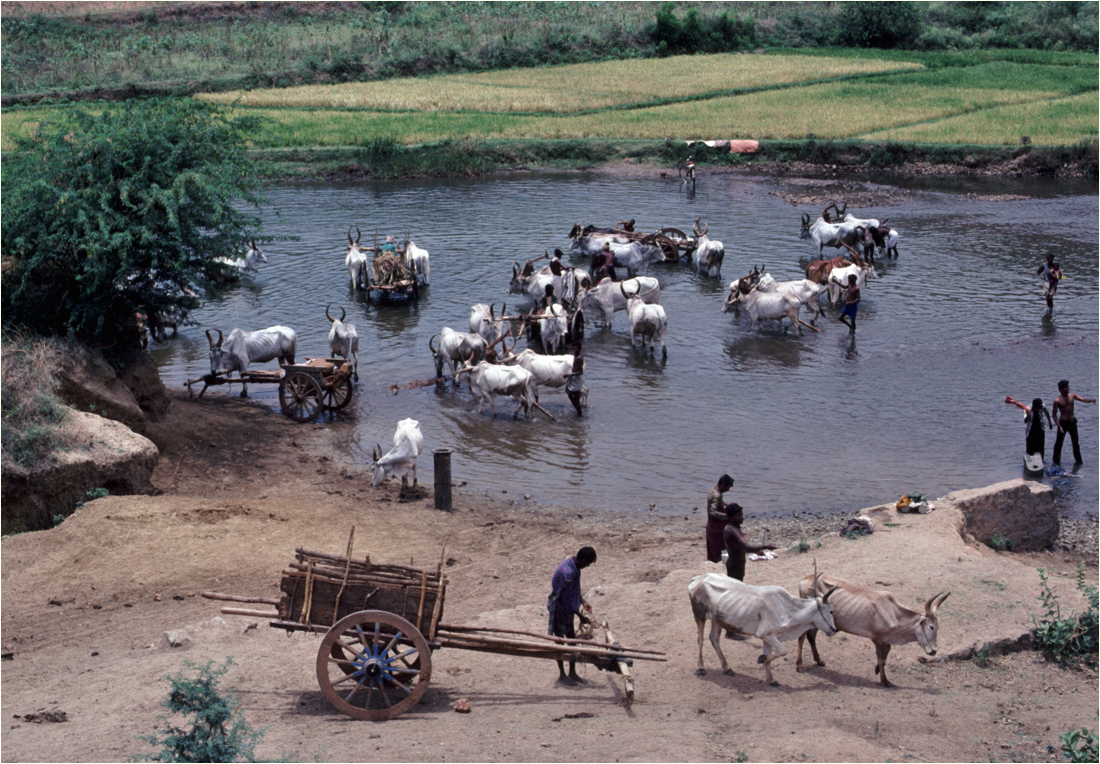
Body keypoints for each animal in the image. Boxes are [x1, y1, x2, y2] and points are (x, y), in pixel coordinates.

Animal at [690, 571, 836, 685]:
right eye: (831, 611)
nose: (833, 630)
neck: (788, 608)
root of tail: (698, 578)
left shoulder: (768, 638)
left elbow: (770, 657)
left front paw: (771, 679)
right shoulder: (766, 635)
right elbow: (783, 651)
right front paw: (761, 659)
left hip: (716, 620)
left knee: (714, 639)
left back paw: (727, 668)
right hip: (699, 615)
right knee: (700, 639)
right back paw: (701, 668)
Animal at [796, 571, 950, 694]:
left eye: (938, 627)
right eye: (931, 627)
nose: (933, 651)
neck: (893, 612)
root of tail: (805, 579)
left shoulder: (885, 641)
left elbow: (885, 656)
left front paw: (877, 670)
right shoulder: (877, 640)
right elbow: (882, 660)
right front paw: (885, 681)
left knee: (811, 637)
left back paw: (819, 660)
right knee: (802, 637)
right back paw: (800, 665)